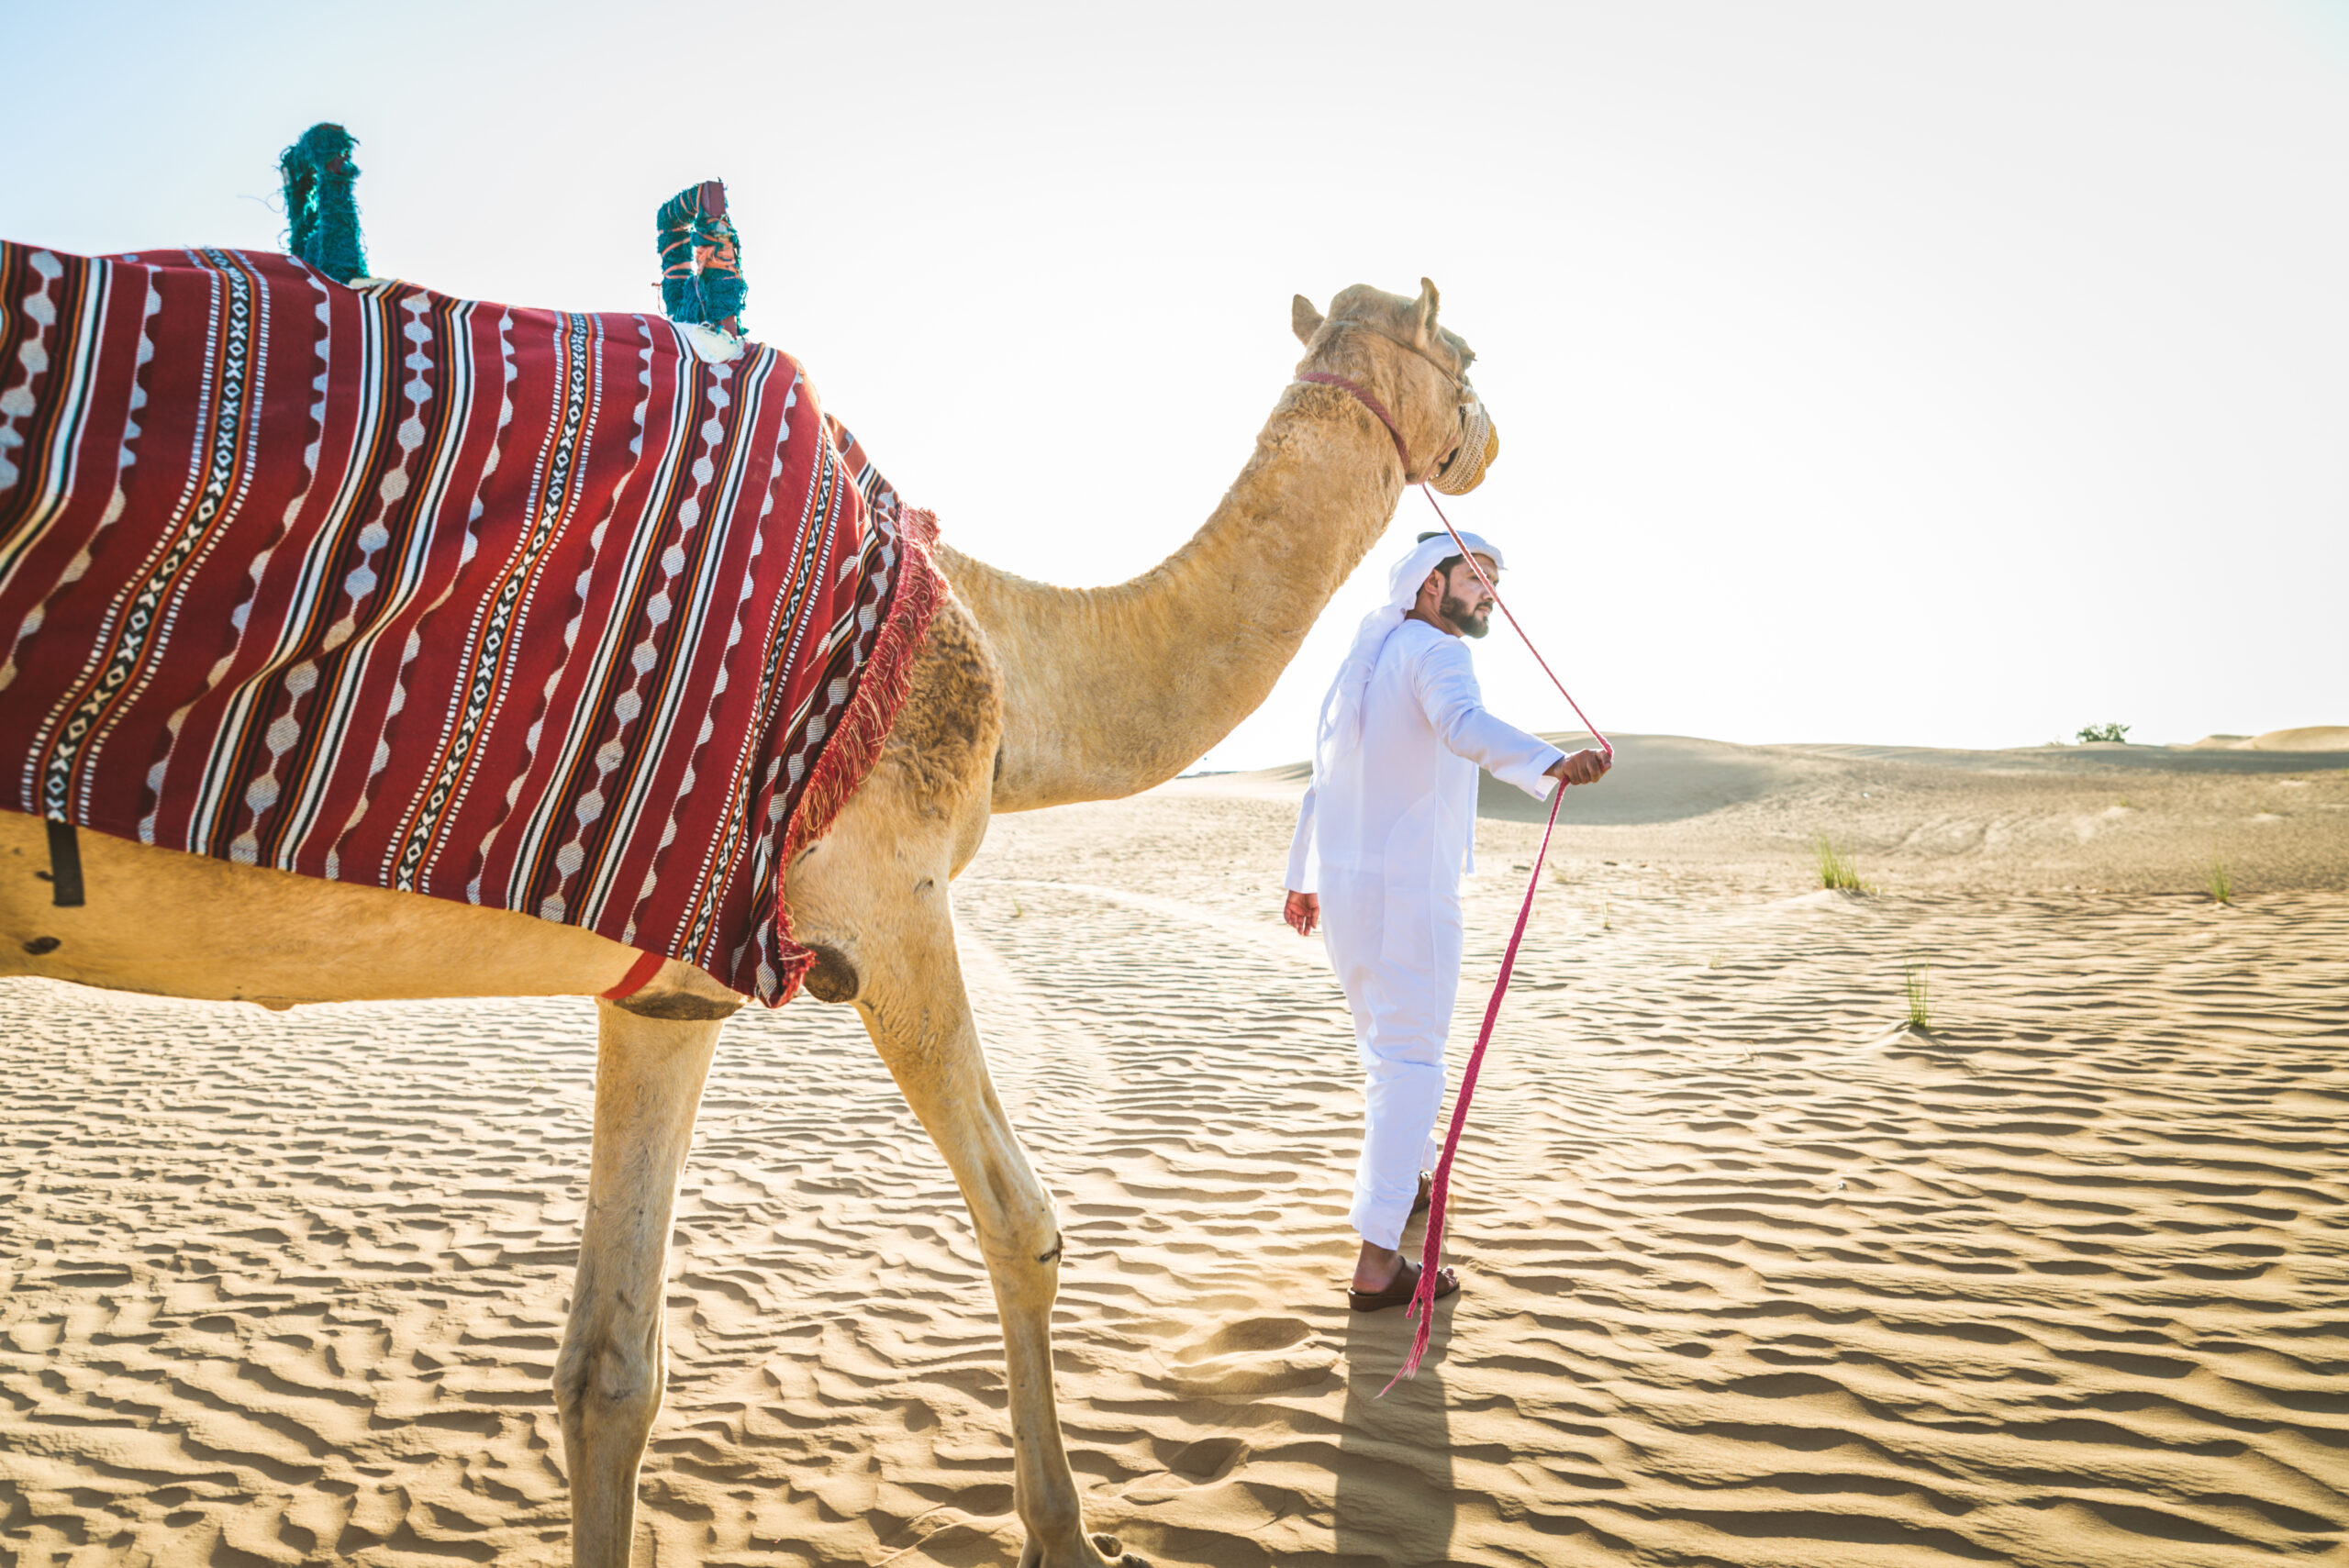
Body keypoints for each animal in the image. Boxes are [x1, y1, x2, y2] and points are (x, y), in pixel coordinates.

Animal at [0, 277, 1495, 1567]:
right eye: (1465, 355)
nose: (1487, 437)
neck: (1005, 656)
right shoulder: (890, 901)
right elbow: (1025, 1223)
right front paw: (1069, 1537)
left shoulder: (668, 986)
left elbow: (609, 1370)